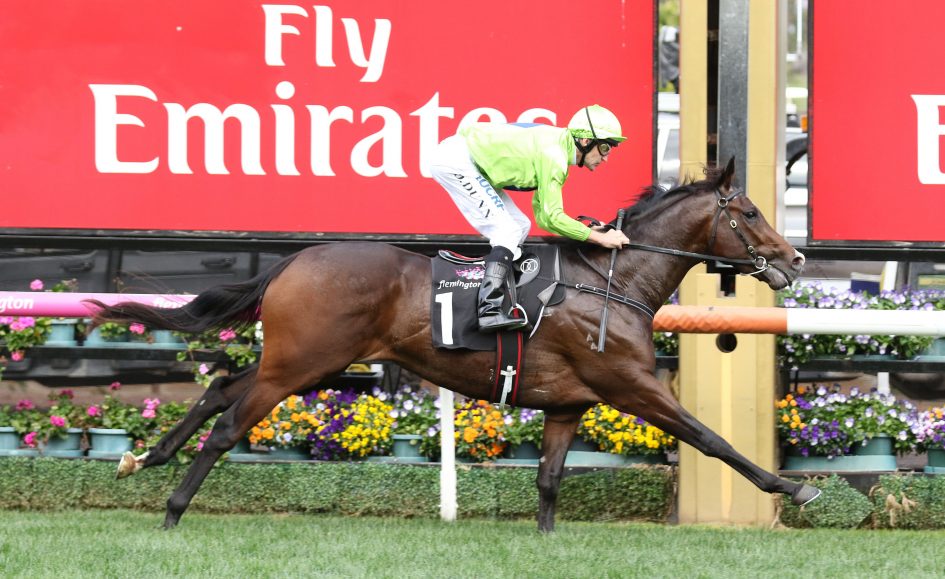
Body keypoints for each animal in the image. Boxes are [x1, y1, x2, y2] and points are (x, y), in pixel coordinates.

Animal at [89, 158, 817, 532]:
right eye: (748, 212)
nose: (796, 257)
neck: (613, 281)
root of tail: (294, 260)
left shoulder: (567, 403)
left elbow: (549, 479)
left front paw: (546, 541)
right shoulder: (630, 384)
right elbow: (709, 438)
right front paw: (791, 488)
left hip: (304, 363)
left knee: (218, 389)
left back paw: (144, 458)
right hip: (301, 365)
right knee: (228, 423)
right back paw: (172, 510)